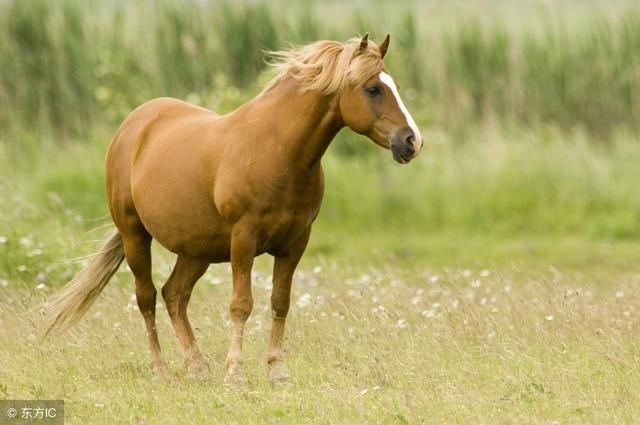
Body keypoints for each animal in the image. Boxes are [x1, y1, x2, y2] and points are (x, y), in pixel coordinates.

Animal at [45, 34, 424, 384]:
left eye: (393, 85)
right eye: (373, 88)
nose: (411, 141)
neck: (277, 150)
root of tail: (134, 124)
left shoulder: (295, 243)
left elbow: (280, 303)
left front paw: (277, 370)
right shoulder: (244, 238)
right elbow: (241, 304)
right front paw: (235, 372)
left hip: (196, 250)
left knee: (174, 295)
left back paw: (196, 366)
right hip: (135, 235)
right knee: (147, 297)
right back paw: (160, 369)